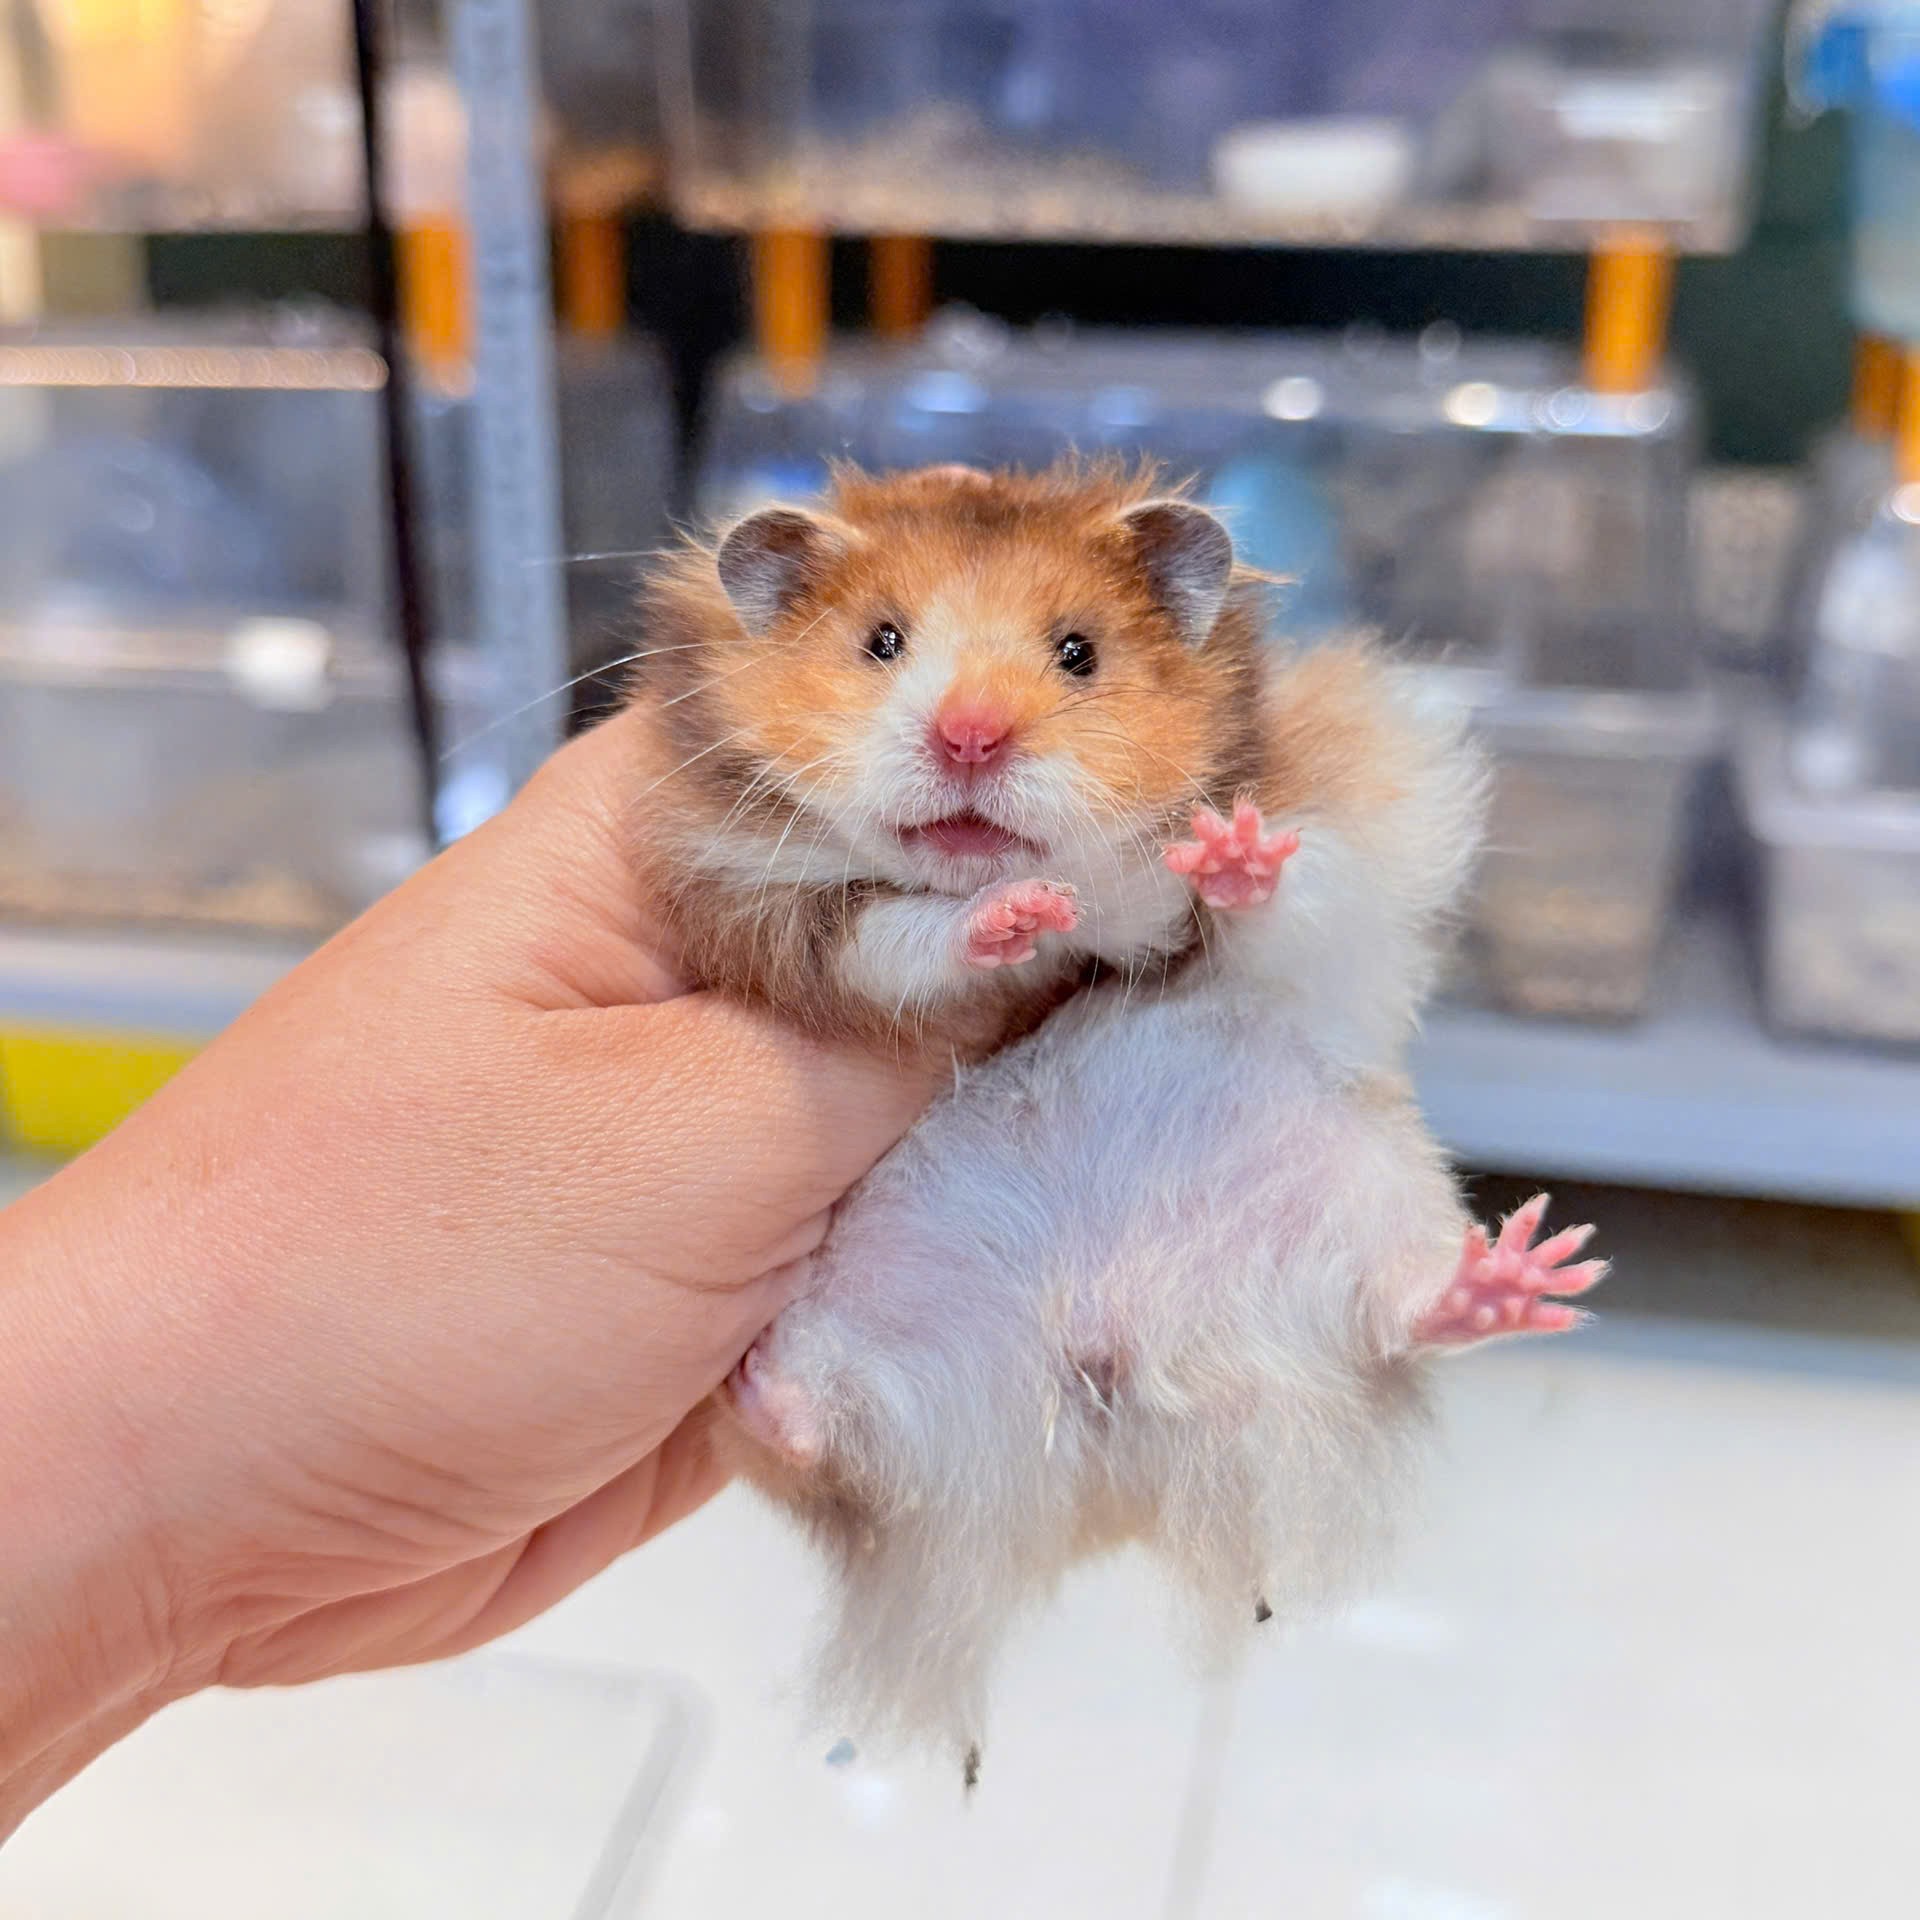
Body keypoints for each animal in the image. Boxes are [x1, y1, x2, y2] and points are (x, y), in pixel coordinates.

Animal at [626, 460, 1603, 1778]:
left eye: (1078, 652)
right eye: (882, 642)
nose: (970, 735)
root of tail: (1106, 1388)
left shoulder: (1315, 834)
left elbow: (1271, 896)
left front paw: (1221, 856)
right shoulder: (774, 920)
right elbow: (905, 933)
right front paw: (1019, 912)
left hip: (1367, 1187)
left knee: (1400, 1313)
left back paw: (1524, 1277)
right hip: (852, 1332)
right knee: (832, 1451)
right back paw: (759, 1396)